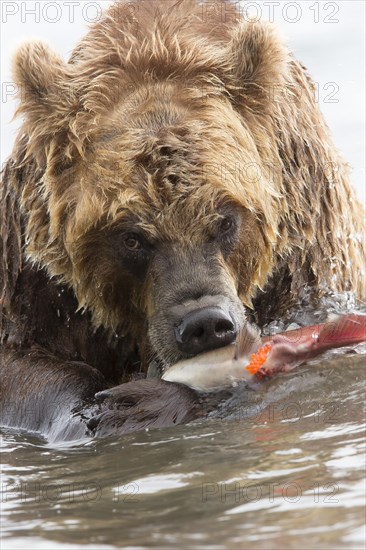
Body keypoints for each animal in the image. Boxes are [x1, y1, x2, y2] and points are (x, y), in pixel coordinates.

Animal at [1, 0, 364, 440]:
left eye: (226, 220)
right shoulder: (32, 267)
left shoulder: (310, 248)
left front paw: (145, 402)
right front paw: (101, 406)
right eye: (131, 237)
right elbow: (19, 358)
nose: (205, 324)